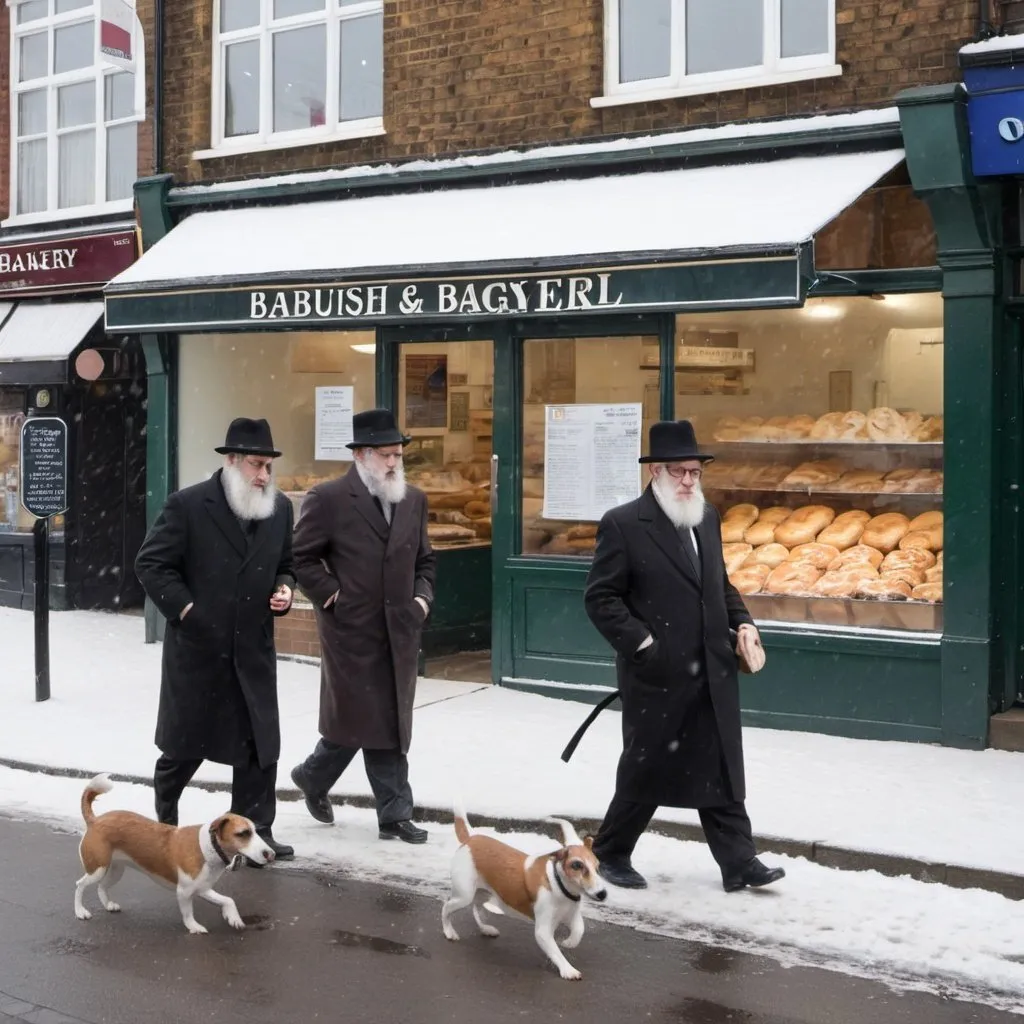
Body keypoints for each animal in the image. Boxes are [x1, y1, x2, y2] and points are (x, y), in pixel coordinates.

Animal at [74, 774, 274, 937]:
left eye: (256, 831)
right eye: (243, 833)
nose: (270, 854)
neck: (209, 847)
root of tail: (95, 820)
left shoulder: (203, 888)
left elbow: (228, 900)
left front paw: (233, 917)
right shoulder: (184, 891)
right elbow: (188, 913)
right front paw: (193, 927)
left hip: (115, 870)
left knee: (101, 886)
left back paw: (108, 904)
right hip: (97, 868)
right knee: (80, 885)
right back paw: (80, 911)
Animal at [442, 802, 606, 978]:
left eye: (598, 867)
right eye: (577, 865)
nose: (603, 894)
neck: (559, 885)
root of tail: (471, 838)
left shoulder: (571, 916)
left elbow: (579, 931)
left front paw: (568, 943)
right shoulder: (543, 931)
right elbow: (556, 952)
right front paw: (568, 969)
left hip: (482, 892)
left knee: (477, 908)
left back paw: (486, 928)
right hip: (464, 896)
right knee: (446, 907)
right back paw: (449, 931)